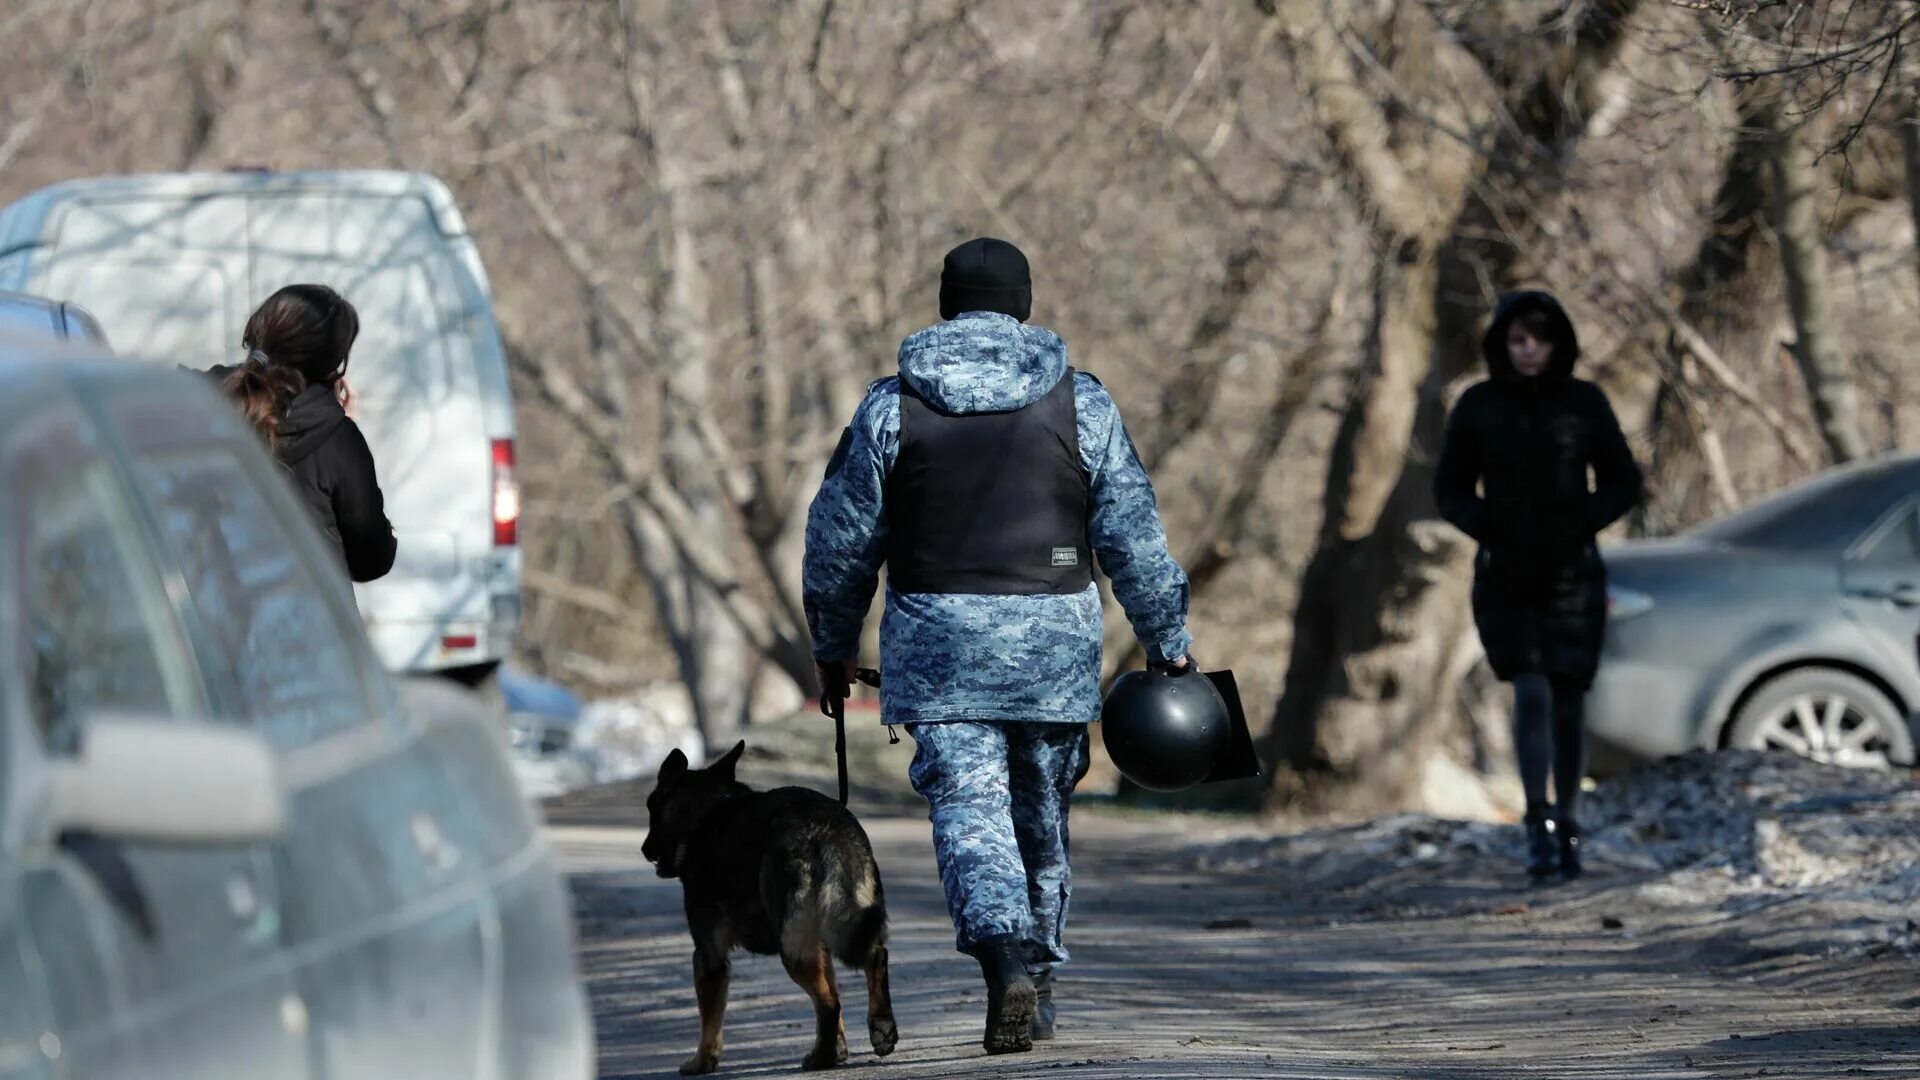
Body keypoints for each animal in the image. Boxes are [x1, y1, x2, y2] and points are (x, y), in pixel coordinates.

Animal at [637, 737, 890, 1068]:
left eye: (651, 806)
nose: (644, 848)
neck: (706, 813)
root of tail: (825, 828)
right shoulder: (819, 943)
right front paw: (840, 1049)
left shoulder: (708, 955)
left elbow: (710, 1020)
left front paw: (702, 1061)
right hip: (833, 929)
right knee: (873, 958)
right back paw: (879, 1027)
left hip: (793, 951)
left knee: (829, 1003)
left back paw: (821, 1057)